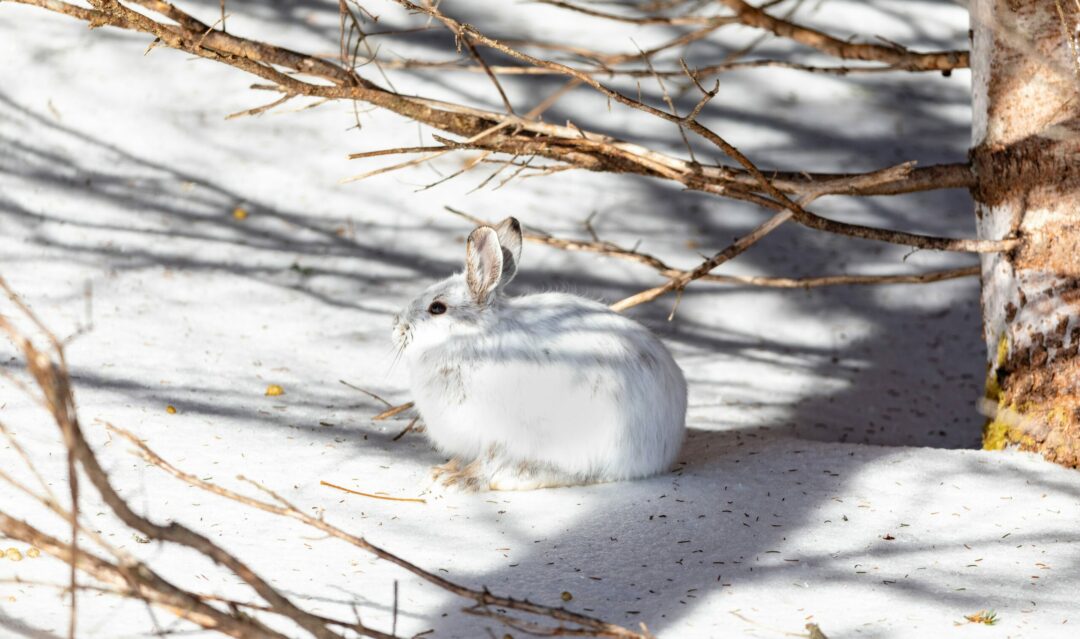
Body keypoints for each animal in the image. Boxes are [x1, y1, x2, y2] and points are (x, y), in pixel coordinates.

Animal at [391, 217, 686, 491]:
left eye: (437, 308)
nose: (396, 327)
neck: (472, 340)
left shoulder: (500, 435)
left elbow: (487, 461)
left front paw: (458, 481)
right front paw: (442, 471)